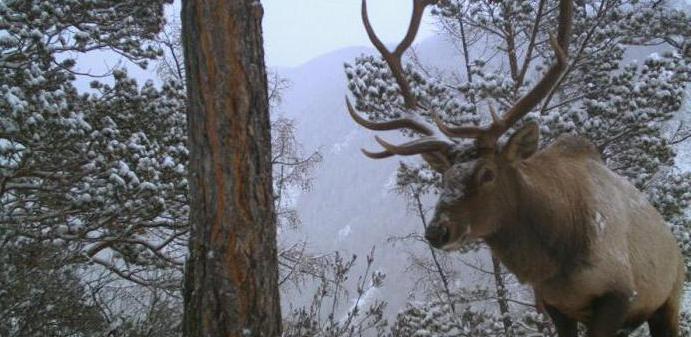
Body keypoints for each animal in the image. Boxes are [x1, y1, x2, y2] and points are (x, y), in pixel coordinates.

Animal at [348, 0, 684, 336]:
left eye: (488, 173)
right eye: (444, 177)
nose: (437, 231)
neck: (555, 264)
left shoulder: (619, 293)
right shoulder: (554, 305)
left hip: (669, 299)